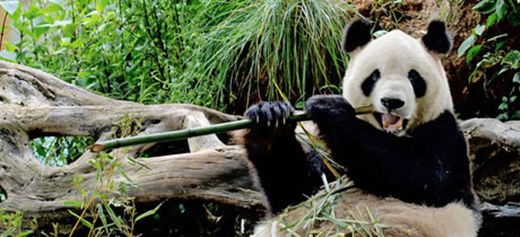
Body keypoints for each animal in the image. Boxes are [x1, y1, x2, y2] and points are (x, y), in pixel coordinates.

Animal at [242, 19, 482, 237]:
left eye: (413, 76)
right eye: (374, 76)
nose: (392, 101)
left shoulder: (446, 135)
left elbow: (425, 173)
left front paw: (329, 108)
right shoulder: (328, 165)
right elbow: (291, 190)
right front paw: (270, 119)